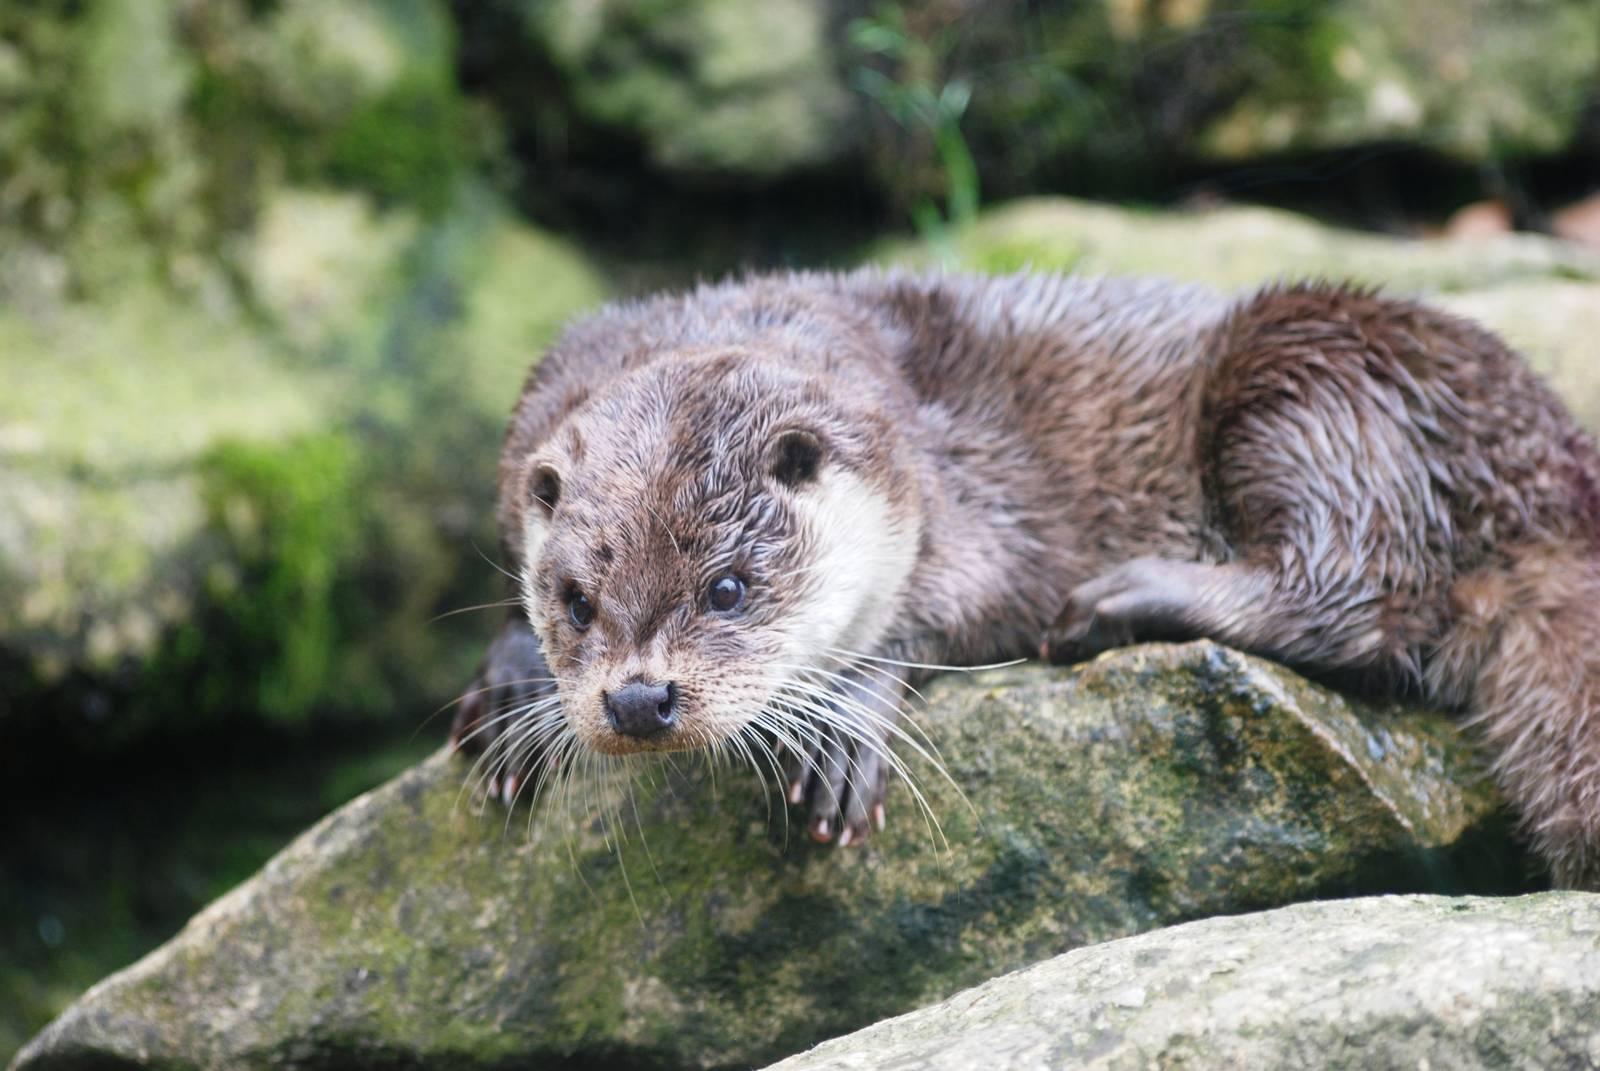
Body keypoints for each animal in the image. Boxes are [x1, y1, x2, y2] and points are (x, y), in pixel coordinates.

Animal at [451, 268, 1600, 887]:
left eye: (728, 588)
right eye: (574, 601)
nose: (639, 699)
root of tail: (1549, 472)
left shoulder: (974, 502)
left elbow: (955, 608)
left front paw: (845, 723)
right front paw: (512, 687)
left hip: (1323, 378)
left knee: (1361, 590)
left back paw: (1123, 601)